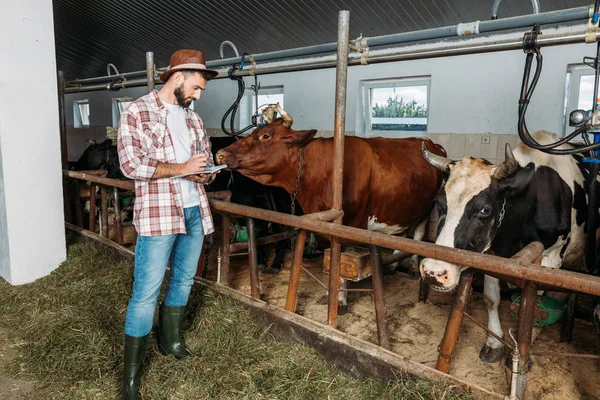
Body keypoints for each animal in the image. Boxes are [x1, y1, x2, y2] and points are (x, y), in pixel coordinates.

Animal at [214, 103, 446, 306]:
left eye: (265, 136)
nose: (220, 153)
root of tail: (432, 144)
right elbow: (331, 260)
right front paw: (329, 292)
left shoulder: (350, 224)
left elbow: (340, 260)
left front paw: (339, 299)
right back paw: (394, 265)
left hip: (427, 209)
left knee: (418, 235)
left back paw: (413, 268)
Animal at [418, 130, 592, 362]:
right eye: (439, 203)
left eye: (485, 210)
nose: (433, 272)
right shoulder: (493, 253)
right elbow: (491, 298)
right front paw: (494, 343)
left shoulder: (551, 259)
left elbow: (536, 308)